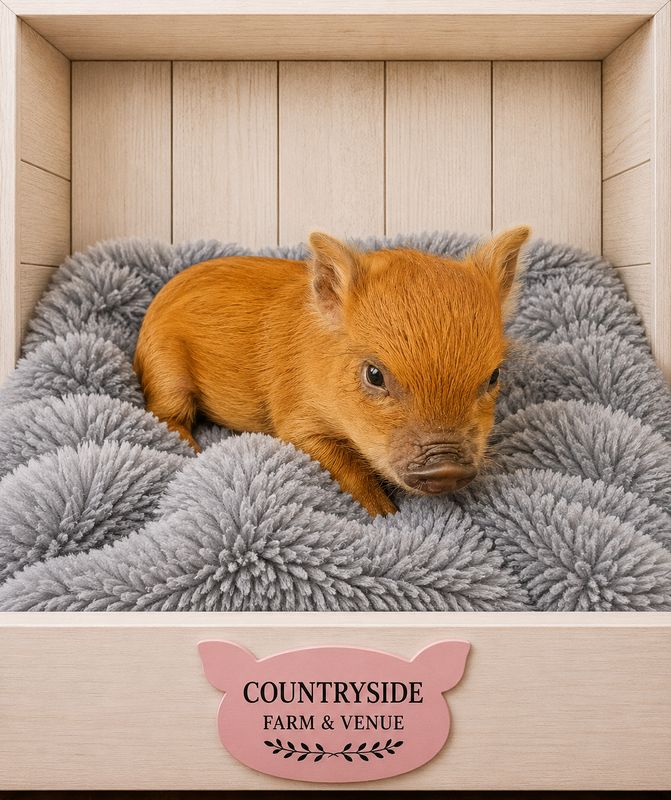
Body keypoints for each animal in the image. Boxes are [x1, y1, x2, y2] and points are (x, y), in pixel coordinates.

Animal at [133, 227, 530, 516]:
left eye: (494, 376)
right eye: (374, 374)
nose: (446, 468)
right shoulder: (295, 421)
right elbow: (347, 466)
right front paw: (385, 514)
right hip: (164, 368)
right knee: (164, 412)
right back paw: (194, 449)